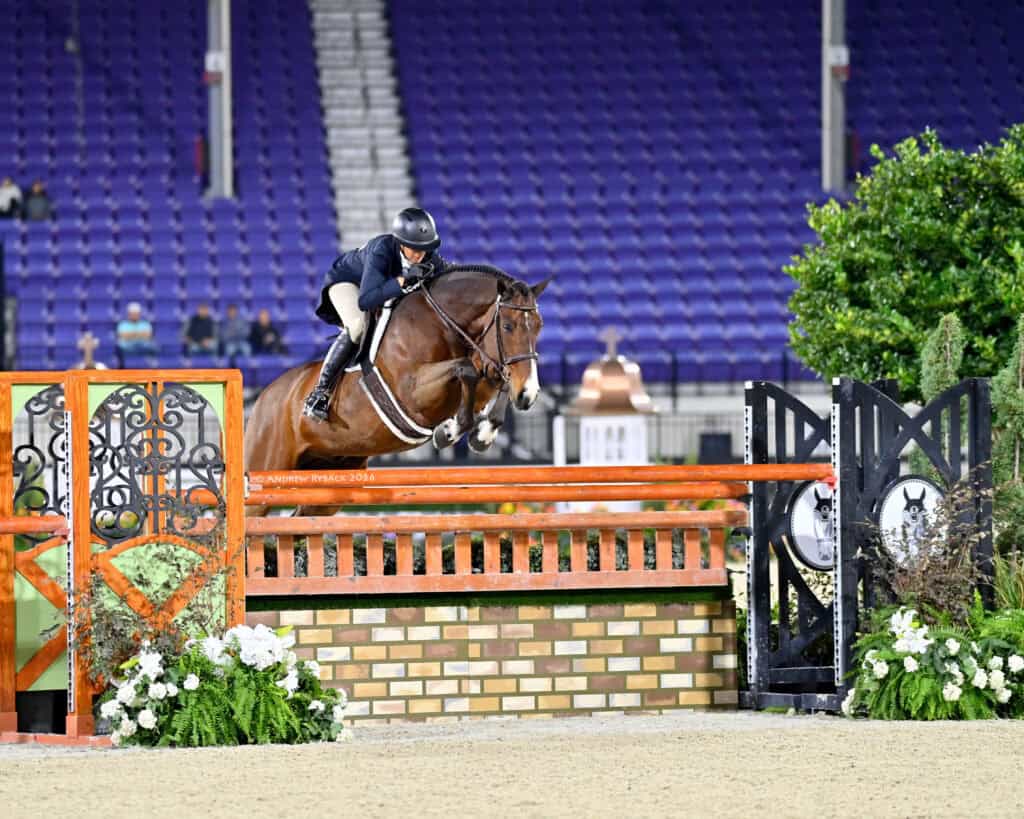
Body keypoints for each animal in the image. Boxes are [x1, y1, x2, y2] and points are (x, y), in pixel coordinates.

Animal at [244, 265, 550, 475]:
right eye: (508, 326)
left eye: (539, 326)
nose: (529, 394)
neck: (440, 323)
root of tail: (264, 397)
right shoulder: (412, 392)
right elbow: (466, 370)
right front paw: (449, 432)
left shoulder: (486, 365)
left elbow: (494, 379)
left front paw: (482, 434)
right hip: (267, 463)